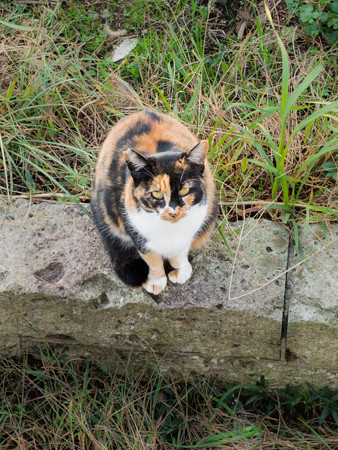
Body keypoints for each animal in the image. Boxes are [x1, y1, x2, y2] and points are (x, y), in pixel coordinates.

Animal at [90, 110, 217, 296]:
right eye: (156, 194)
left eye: (184, 191)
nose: (173, 211)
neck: (170, 230)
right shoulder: (138, 233)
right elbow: (153, 260)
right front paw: (156, 281)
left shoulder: (191, 229)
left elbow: (180, 253)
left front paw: (180, 271)